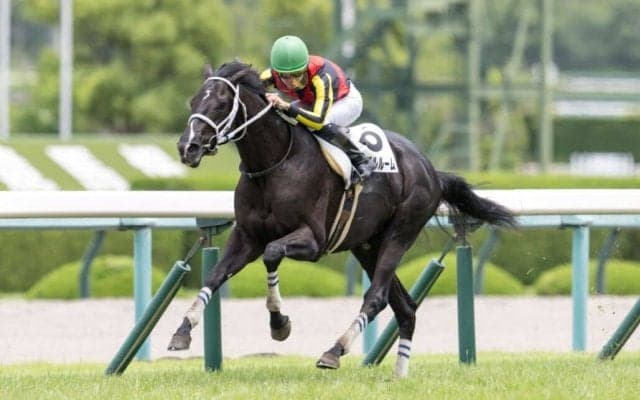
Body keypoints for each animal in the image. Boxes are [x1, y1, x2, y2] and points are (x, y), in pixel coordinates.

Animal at [169, 61, 516, 377]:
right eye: (193, 101)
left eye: (220, 104)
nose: (188, 147)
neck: (275, 164)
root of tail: (431, 170)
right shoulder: (246, 236)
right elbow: (214, 276)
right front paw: (182, 331)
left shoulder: (312, 241)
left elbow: (272, 254)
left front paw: (279, 324)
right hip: (366, 245)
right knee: (405, 307)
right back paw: (399, 374)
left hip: (400, 234)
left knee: (376, 298)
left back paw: (335, 351)